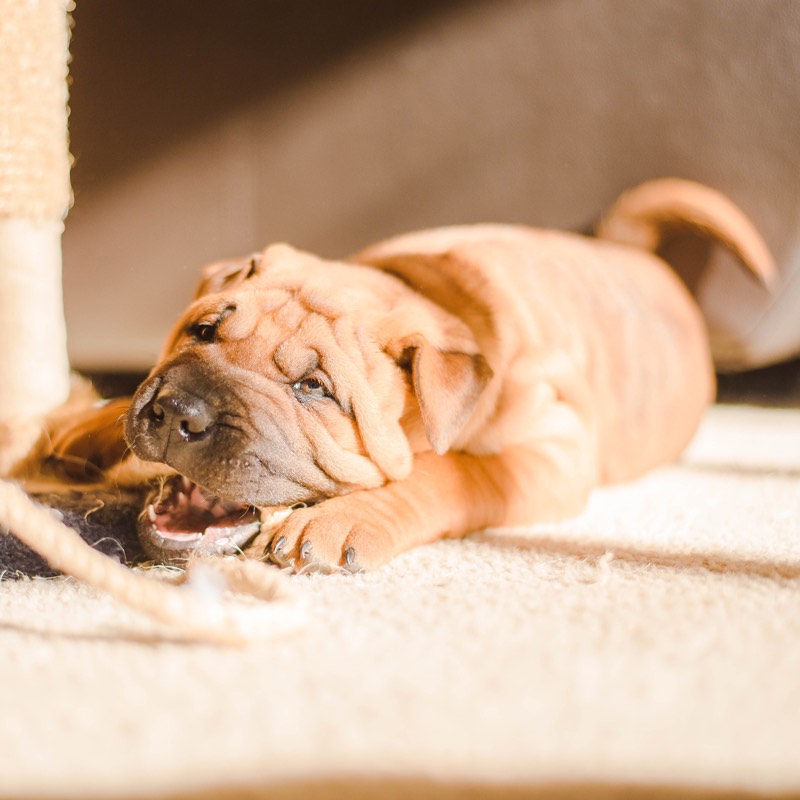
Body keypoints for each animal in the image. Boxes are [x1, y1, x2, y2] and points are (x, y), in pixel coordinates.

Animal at [47, 179, 772, 572]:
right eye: (202, 332)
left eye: (313, 389)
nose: (178, 412)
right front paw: (79, 426)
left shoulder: (553, 450)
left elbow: (453, 472)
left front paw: (336, 523)